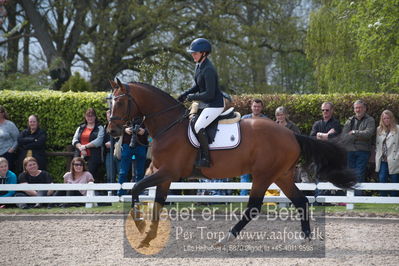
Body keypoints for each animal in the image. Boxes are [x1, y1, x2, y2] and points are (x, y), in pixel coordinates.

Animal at [108, 78, 358, 247]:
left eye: (119, 103)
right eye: (110, 103)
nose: (112, 131)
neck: (168, 125)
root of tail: (291, 135)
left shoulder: (168, 172)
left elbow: (135, 188)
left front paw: (140, 225)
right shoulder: (161, 173)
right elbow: (155, 202)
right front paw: (147, 236)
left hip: (263, 175)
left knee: (254, 207)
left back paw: (225, 238)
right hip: (281, 176)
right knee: (301, 202)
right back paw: (304, 239)